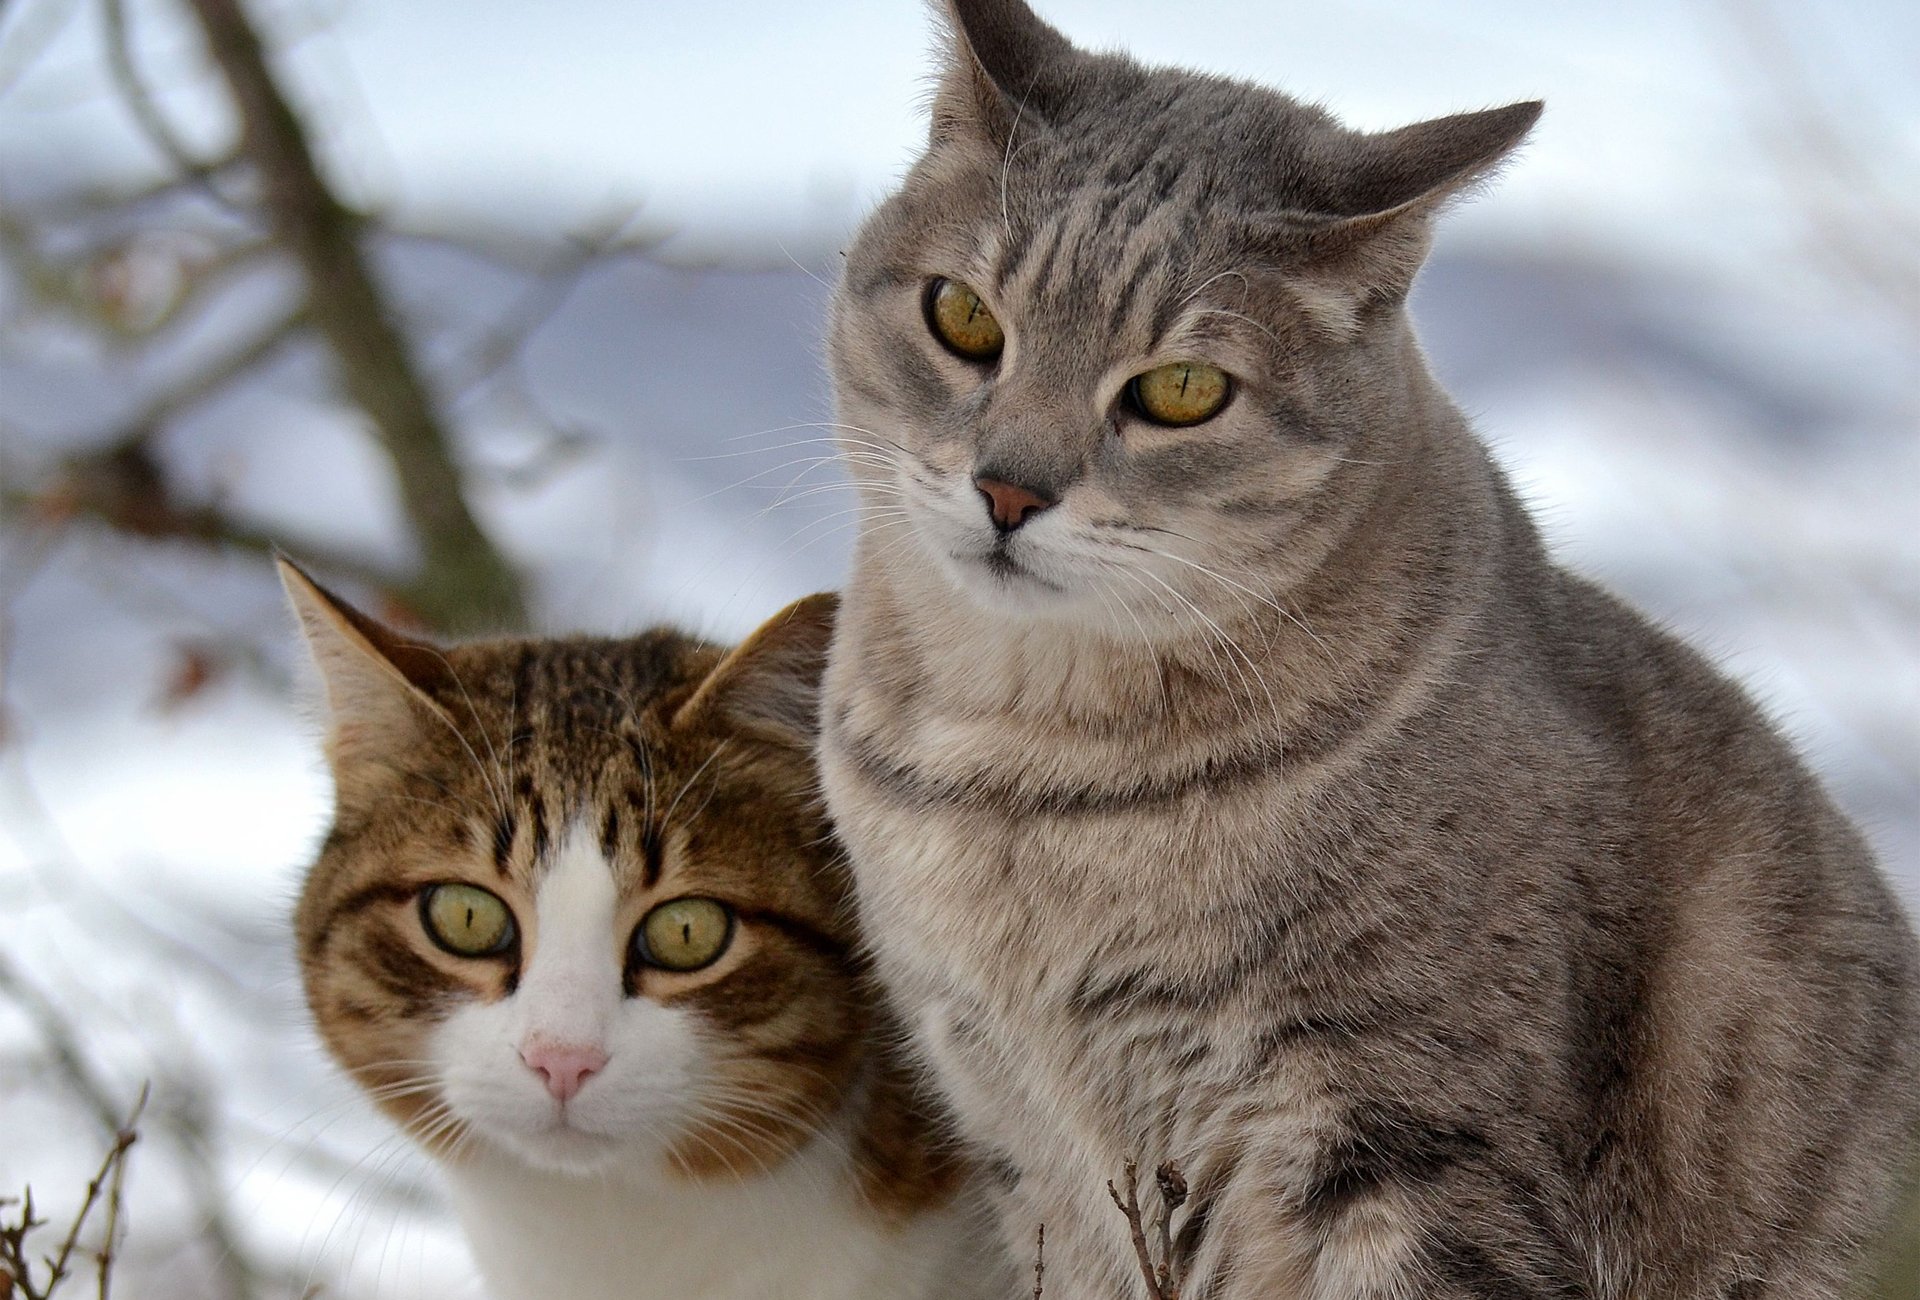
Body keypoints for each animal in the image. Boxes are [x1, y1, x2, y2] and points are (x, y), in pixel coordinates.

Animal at [817, 2, 1920, 1298]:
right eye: (965, 318)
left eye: (1181, 389)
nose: (1007, 488)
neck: (1018, 782)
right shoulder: (1023, 1147)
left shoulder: (1407, 1138)